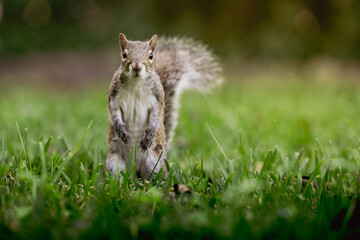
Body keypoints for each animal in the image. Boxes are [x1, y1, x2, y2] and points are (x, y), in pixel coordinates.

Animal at [105, 33, 222, 180]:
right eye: (124, 54)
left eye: (151, 56)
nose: (137, 67)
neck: (136, 82)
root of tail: (135, 169)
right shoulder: (113, 96)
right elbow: (114, 112)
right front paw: (120, 130)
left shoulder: (158, 98)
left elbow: (158, 114)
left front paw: (151, 133)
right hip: (114, 162)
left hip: (155, 161)